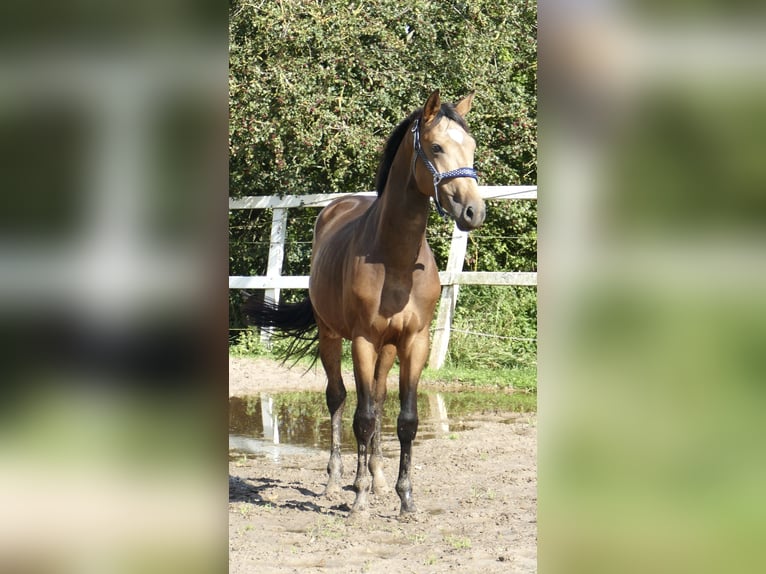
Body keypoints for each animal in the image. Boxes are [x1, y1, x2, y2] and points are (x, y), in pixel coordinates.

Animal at [244, 90, 486, 516]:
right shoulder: (362, 340)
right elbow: (364, 417)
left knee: (376, 395)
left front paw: (405, 498)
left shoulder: (414, 341)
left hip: (387, 349)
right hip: (331, 336)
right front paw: (357, 501)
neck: (395, 261)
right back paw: (337, 479)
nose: (474, 212)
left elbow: (404, 419)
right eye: (436, 147)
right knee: (340, 399)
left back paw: (375, 479)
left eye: (471, 147)